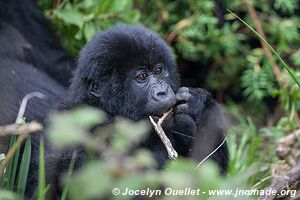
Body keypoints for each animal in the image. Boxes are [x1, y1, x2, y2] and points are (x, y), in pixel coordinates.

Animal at [42, 23, 230, 198]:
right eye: (141, 77)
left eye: (159, 70)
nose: (163, 92)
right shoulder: (83, 133)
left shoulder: (183, 124)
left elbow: (210, 180)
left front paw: (200, 104)